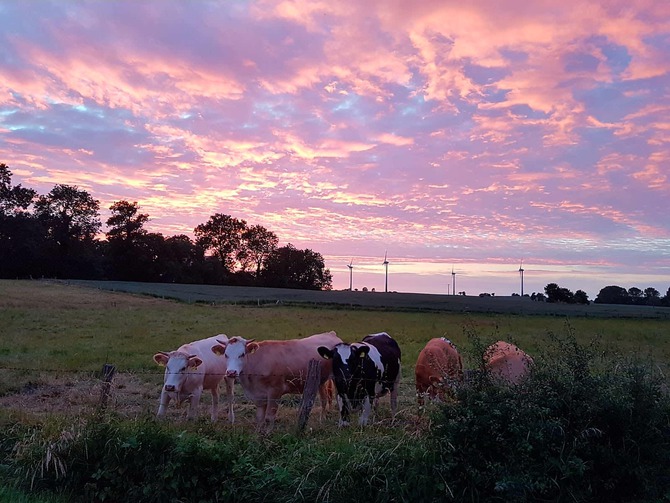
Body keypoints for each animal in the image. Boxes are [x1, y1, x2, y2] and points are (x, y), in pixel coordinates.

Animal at [213, 330, 344, 434]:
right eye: (226, 355)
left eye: (242, 354)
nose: (231, 372)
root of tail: (330, 334)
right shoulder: (259, 395)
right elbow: (259, 418)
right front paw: (257, 434)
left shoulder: (275, 392)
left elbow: (269, 417)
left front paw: (268, 434)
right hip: (320, 380)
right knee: (324, 399)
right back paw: (322, 420)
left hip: (338, 378)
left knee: (340, 400)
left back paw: (341, 423)